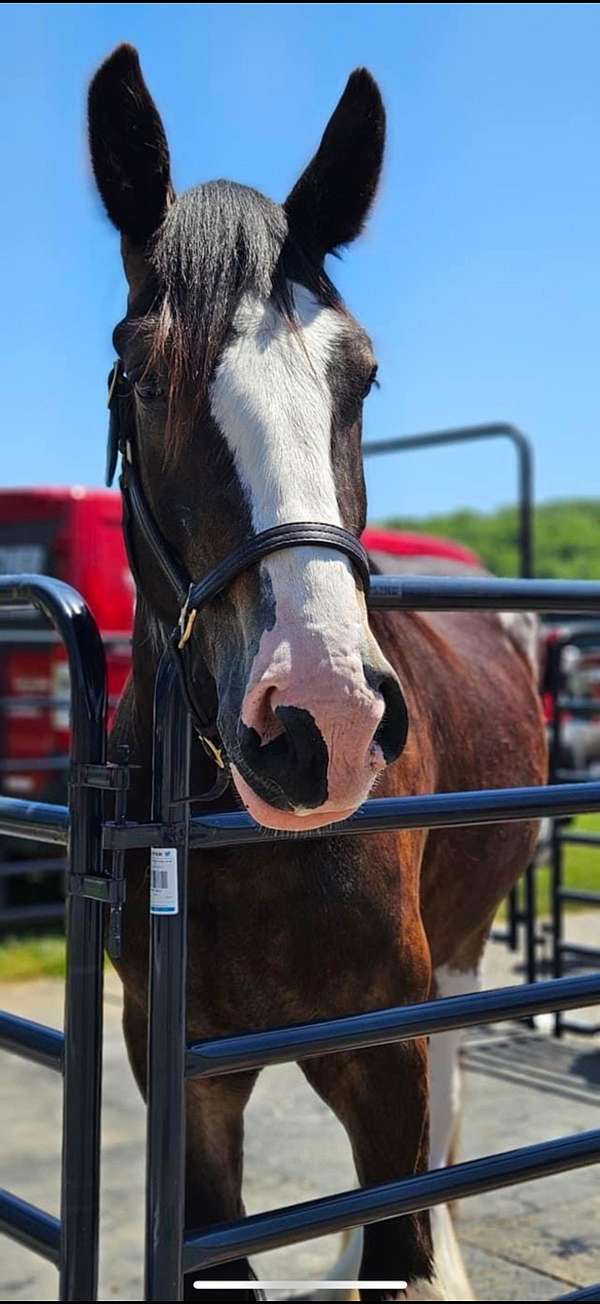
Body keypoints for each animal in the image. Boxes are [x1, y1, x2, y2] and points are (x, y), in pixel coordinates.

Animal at [88, 44, 547, 1302]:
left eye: (365, 378)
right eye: (143, 375)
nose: (322, 720)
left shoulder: (382, 1046)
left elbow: (403, 1199)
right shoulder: (186, 1082)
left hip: (462, 954)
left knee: (445, 1103)